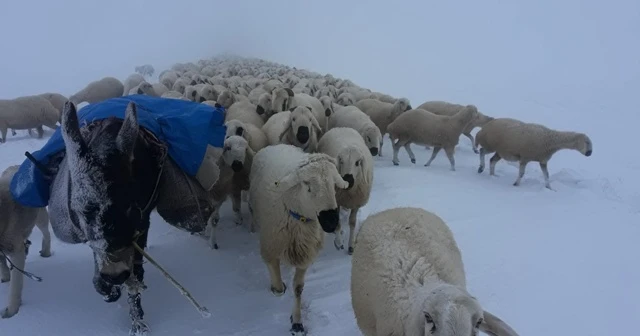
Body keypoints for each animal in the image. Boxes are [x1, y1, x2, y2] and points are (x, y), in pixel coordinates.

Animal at [0, 165, 52, 318]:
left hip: (40, 217)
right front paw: (5, 277)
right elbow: (2, 264)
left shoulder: (16, 252)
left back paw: (46, 252)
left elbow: (15, 287)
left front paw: (11, 312)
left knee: (46, 233)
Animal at [250, 143, 350, 334]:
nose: (331, 221)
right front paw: (277, 287)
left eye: (334, 185)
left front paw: (296, 322)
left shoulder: (305, 255)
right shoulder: (270, 247)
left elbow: (298, 289)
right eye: (307, 185)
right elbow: (279, 288)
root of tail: (277, 144)